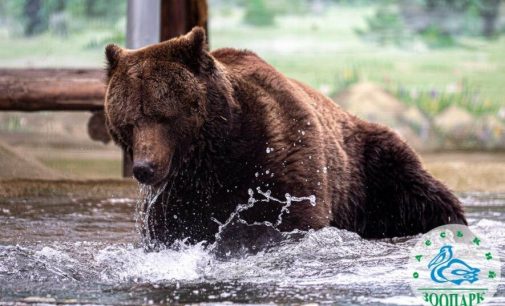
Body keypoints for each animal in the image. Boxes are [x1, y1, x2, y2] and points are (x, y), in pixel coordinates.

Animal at [104, 26, 466, 246]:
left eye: (165, 116)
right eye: (129, 122)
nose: (145, 168)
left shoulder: (277, 153)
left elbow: (295, 216)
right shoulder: (180, 194)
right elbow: (172, 230)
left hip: (372, 169)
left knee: (423, 196)